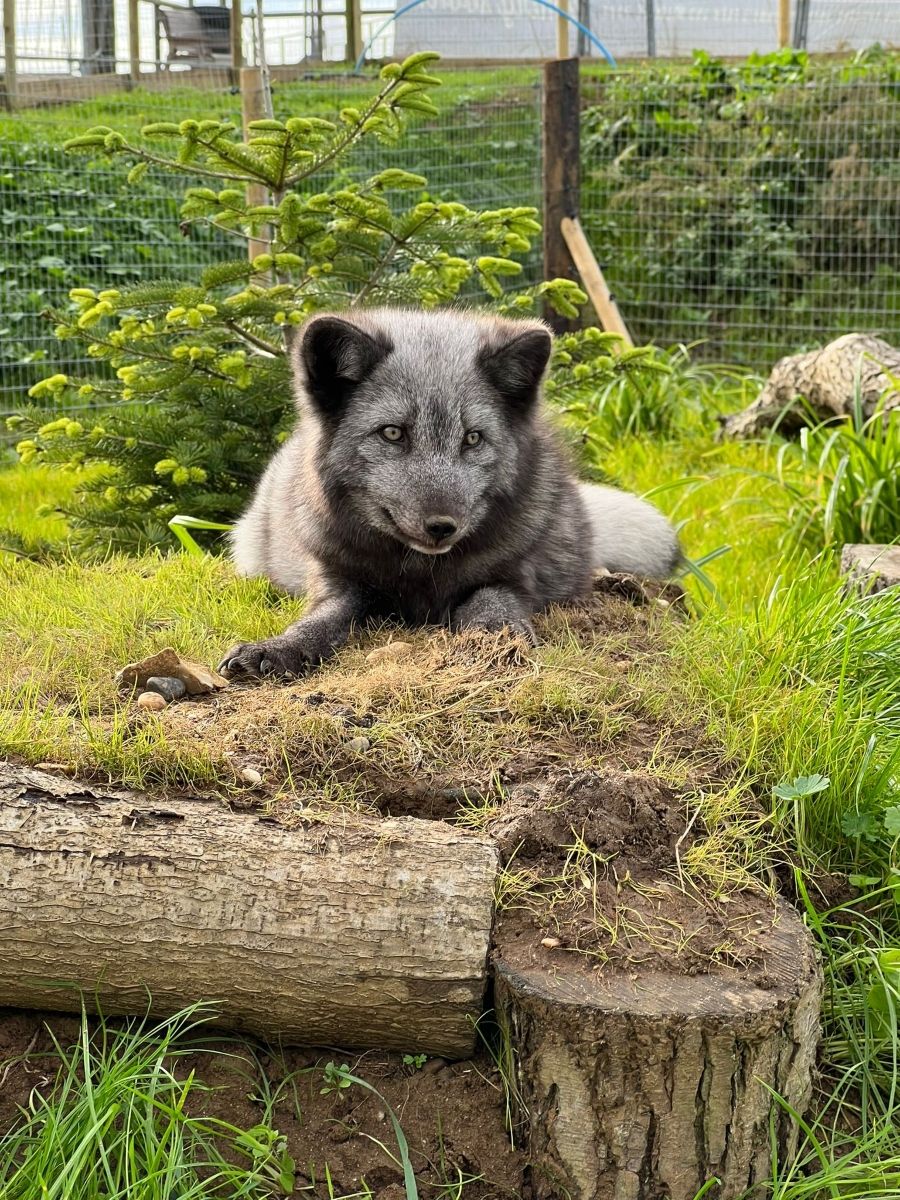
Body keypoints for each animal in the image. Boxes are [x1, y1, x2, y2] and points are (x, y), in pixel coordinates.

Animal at [219, 307, 680, 679]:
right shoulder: (337, 576)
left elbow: (493, 602)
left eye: (473, 438)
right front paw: (281, 647)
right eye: (392, 433)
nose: (442, 527)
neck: (423, 573)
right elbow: (322, 617)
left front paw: (496, 640)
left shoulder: (513, 574)